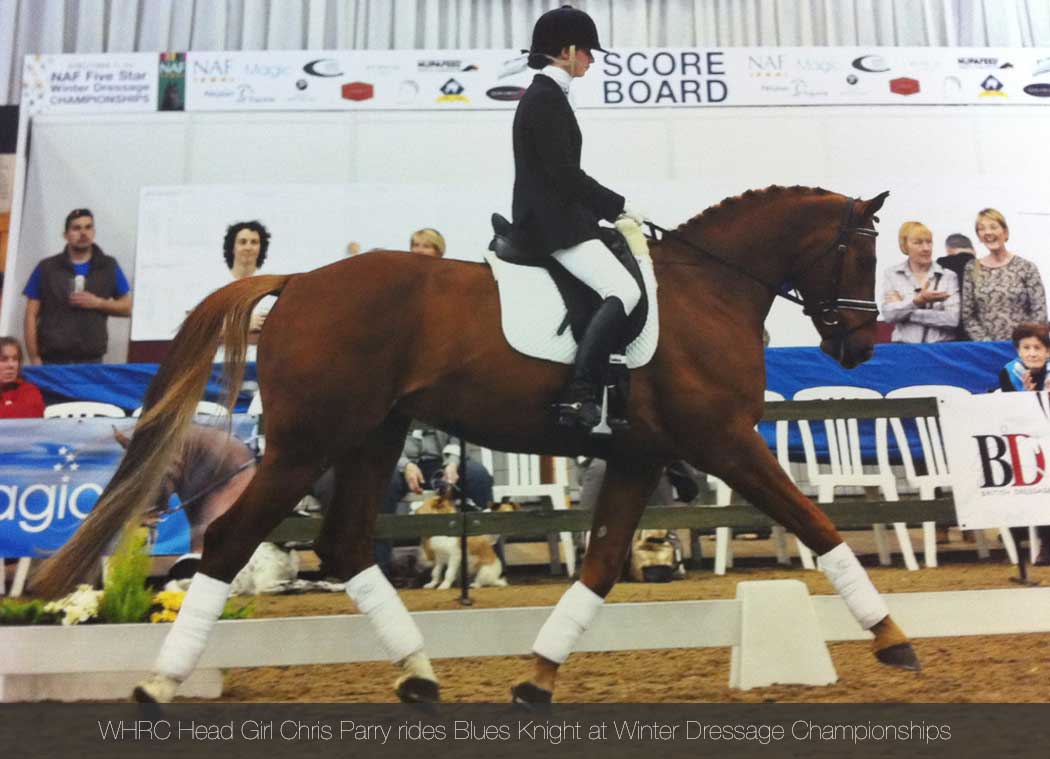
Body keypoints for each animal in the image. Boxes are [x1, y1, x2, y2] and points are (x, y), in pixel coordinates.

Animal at [34, 185, 911, 705]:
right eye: (863, 252)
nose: (859, 347)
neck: (707, 289)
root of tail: (299, 281)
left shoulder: (637, 456)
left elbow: (599, 567)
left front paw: (537, 676)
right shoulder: (725, 439)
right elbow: (819, 525)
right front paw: (893, 640)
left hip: (372, 436)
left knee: (344, 542)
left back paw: (419, 674)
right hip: (306, 445)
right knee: (228, 541)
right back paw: (160, 681)